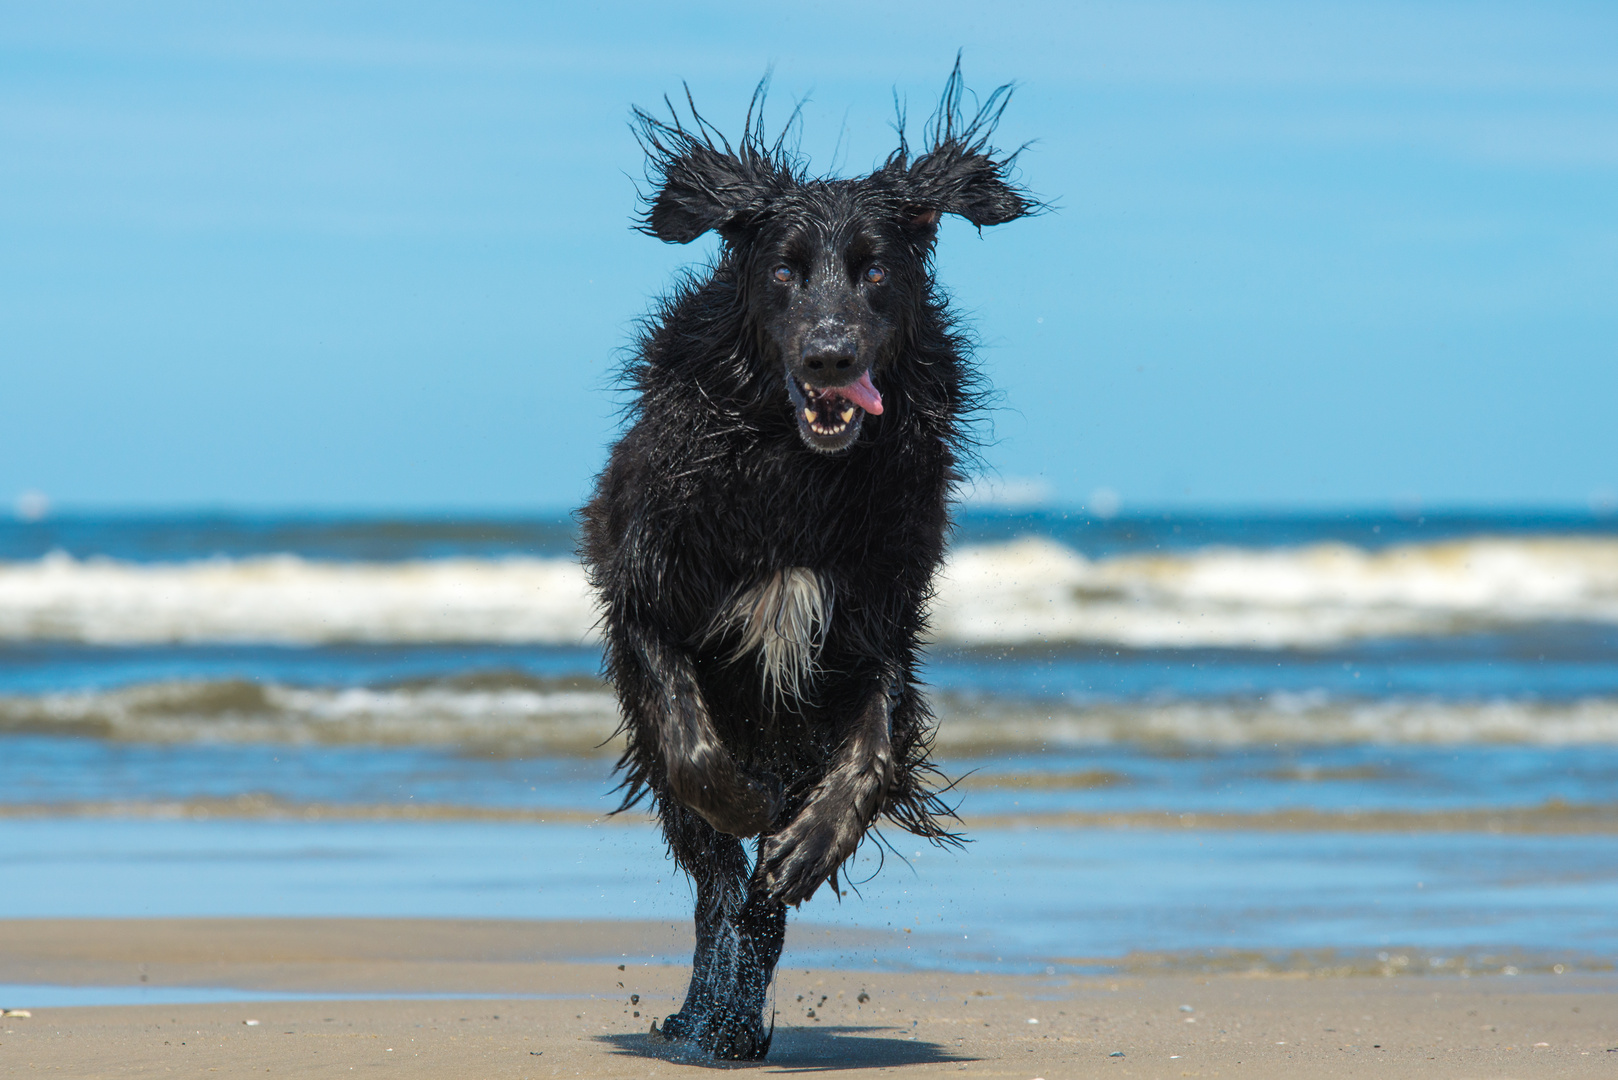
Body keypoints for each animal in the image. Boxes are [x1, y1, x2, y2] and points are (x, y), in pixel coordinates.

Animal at [582, 63, 1035, 1062]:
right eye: (784, 271)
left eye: (875, 271)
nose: (831, 357)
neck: (798, 479)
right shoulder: (650, 600)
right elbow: (691, 745)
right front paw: (746, 806)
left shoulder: (875, 625)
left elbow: (870, 746)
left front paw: (805, 844)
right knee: (714, 888)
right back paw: (706, 1019)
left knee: (752, 911)